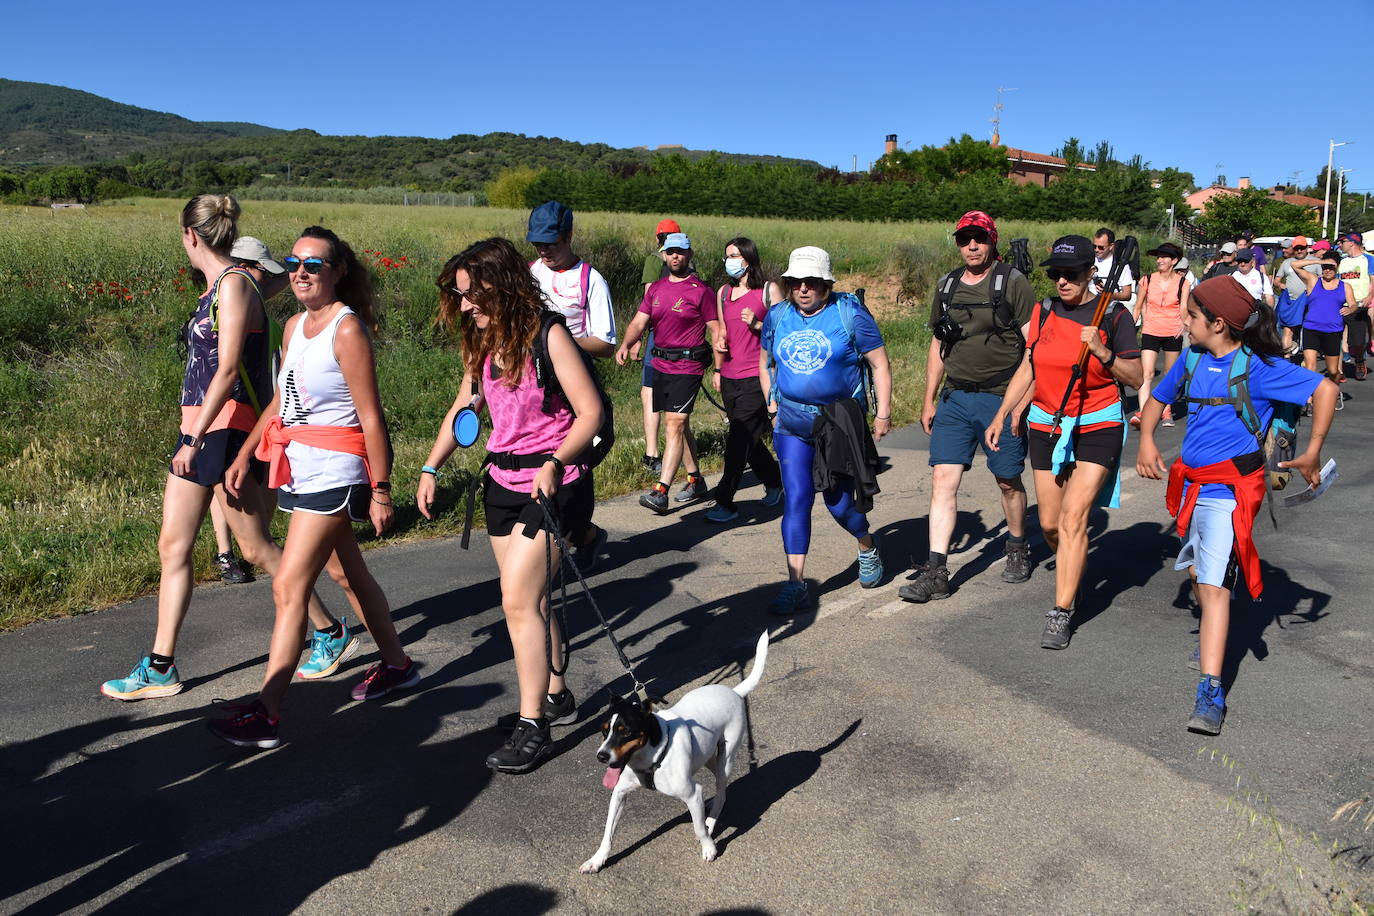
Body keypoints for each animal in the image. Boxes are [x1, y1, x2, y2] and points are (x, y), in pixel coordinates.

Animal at [582, 631, 774, 873]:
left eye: (626, 733)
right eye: (604, 730)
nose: (602, 756)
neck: (651, 757)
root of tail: (735, 692)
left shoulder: (691, 793)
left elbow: (698, 828)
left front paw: (709, 847)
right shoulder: (619, 793)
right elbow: (608, 833)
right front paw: (597, 860)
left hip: (727, 757)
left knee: (721, 791)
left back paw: (711, 820)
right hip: (708, 756)